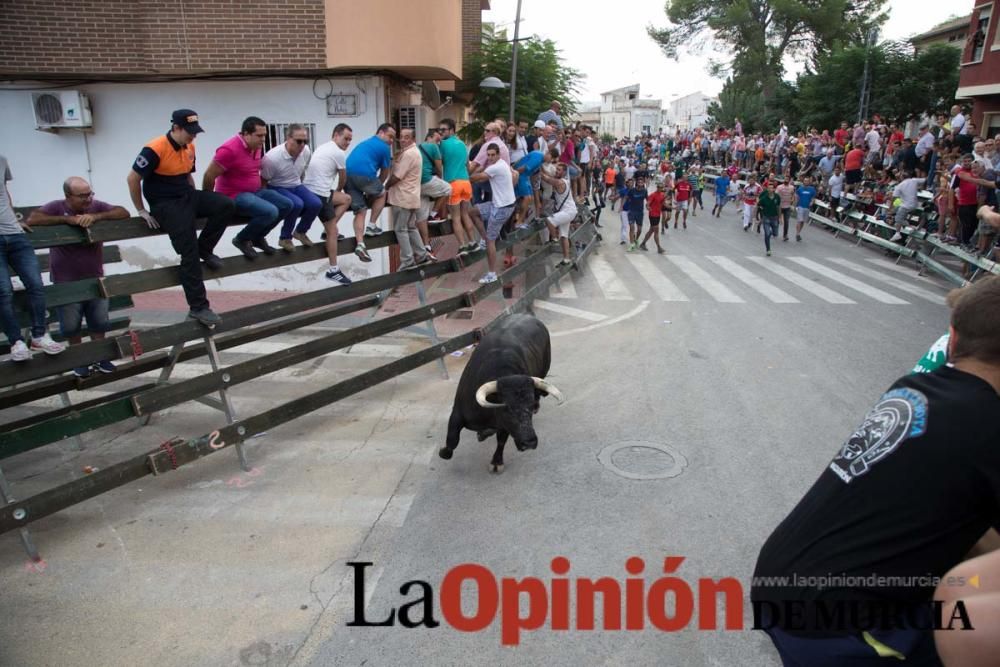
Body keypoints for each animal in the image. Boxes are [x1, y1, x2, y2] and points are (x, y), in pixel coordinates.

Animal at [438, 314, 564, 474]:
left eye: (530, 406)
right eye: (507, 408)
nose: (529, 442)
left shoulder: (504, 425)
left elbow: (501, 441)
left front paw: (496, 462)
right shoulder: (457, 412)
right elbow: (452, 439)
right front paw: (443, 451)